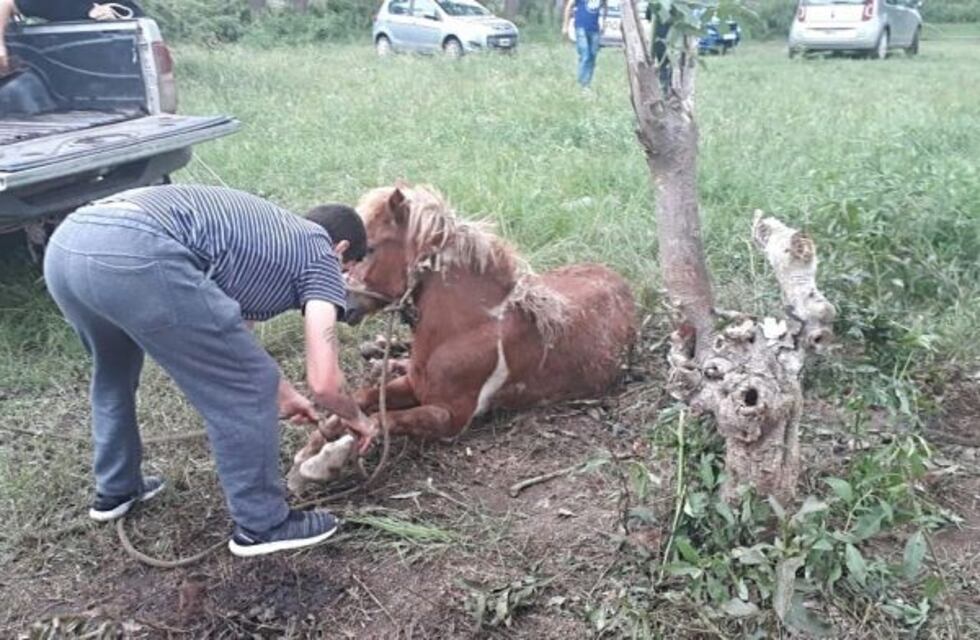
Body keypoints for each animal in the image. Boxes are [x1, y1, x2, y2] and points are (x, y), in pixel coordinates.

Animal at [287, 183, 637, 491]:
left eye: (369, 249)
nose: (341, 304)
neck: (464, 329)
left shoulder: (451, 416)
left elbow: (382, 421)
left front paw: (321, 464)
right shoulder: (414, 384)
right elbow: (364, 399)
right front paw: (311, 448)